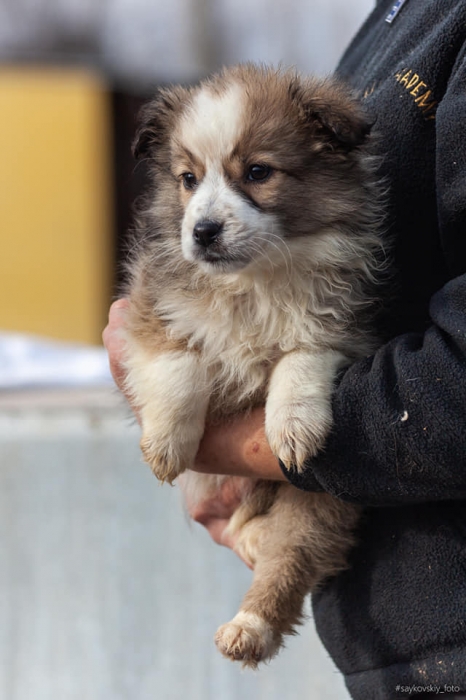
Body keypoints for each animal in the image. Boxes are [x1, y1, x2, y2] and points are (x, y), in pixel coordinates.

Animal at [122, 64, 384, 668]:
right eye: (188, 179)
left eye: (259, 172)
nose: (203, 232)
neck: (255, 279)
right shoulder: (152, 305)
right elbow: (180, 365)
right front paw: (166, 444)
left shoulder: (342, 327)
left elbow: (300, 360)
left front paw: (292, 427)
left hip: (317, 500)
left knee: (289, 560)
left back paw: (249, 625)